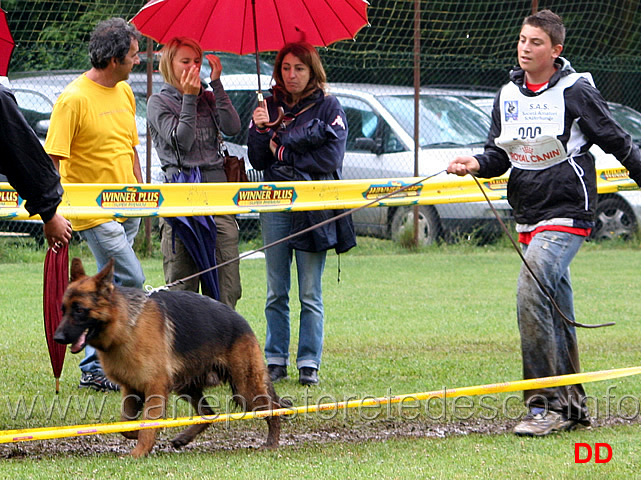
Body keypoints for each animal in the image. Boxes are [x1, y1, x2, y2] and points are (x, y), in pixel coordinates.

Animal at [55, 258, 284, 458]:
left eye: (79, 310)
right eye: (63, 309)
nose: (57, 338)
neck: (126, 326)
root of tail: (241, 321)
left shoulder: (155, 389)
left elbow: (147, 424)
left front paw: (139, 451)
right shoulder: (131, 389)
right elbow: (126, 426)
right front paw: (139, 434)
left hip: (246, 390)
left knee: (275, 409)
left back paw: (272, 443)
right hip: (186, 386)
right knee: (208, 412)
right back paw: (184, 438)